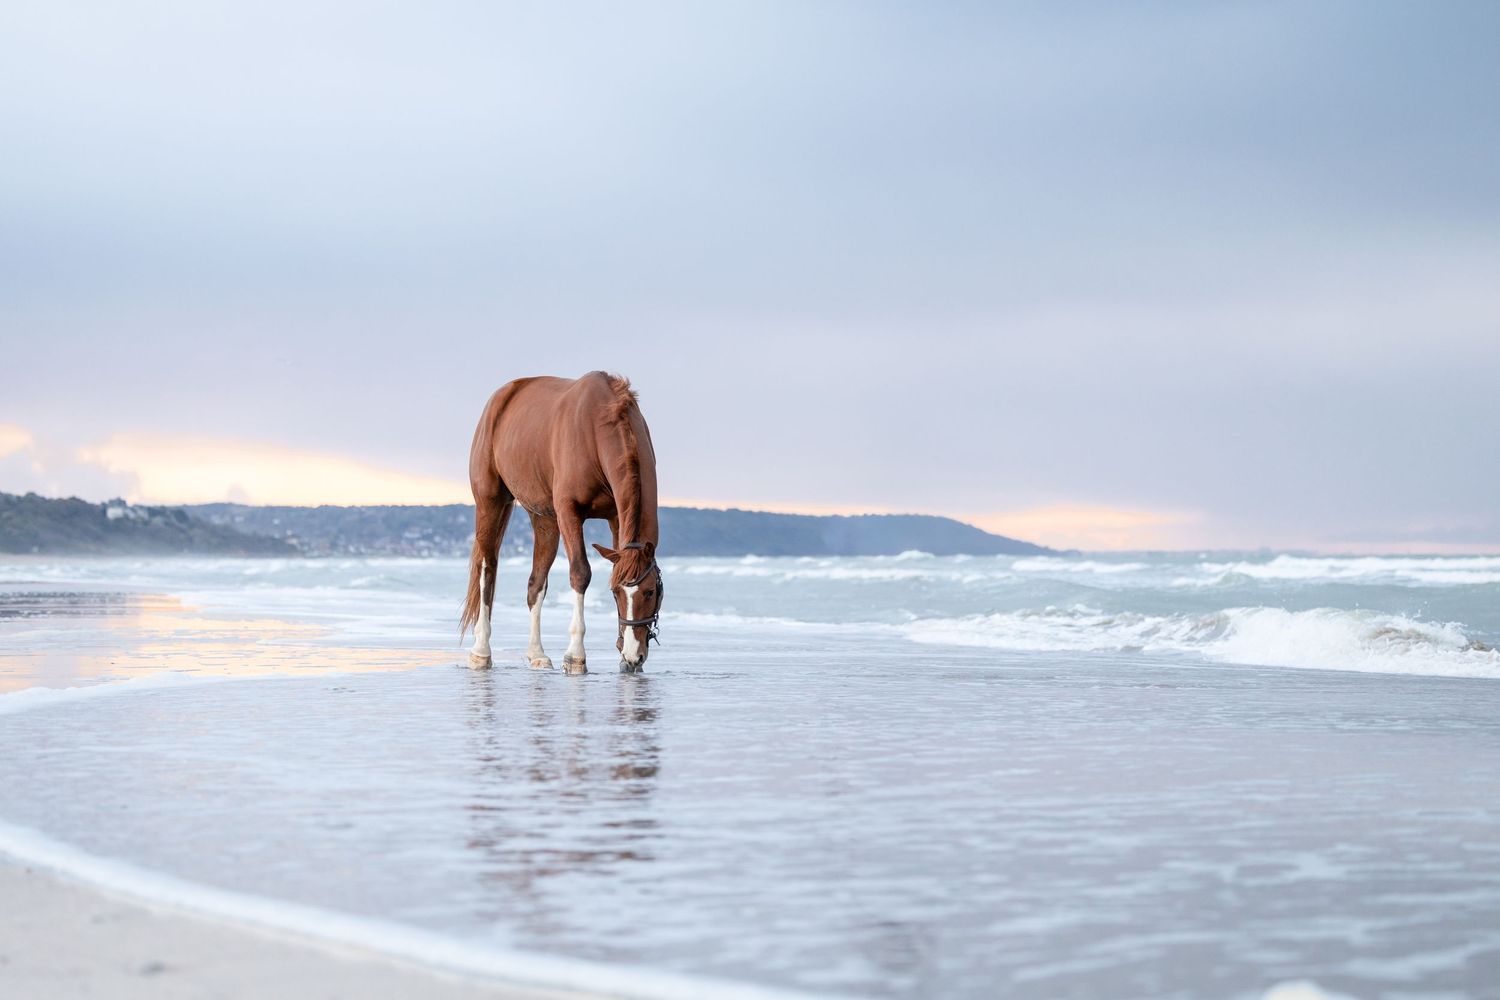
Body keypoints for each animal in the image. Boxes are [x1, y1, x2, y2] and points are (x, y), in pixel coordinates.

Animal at [460, 371, 663, 674]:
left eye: (650, 592)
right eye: (615, 592)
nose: (633, 655)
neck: (596, 429)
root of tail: (500, 398)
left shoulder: (617, 518)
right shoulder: (569, 512)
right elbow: (580, 573)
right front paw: (576, 656)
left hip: (544, 519)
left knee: (535, 583)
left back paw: (537, 654)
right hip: (490, 502)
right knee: (487, 568)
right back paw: (481, 651)